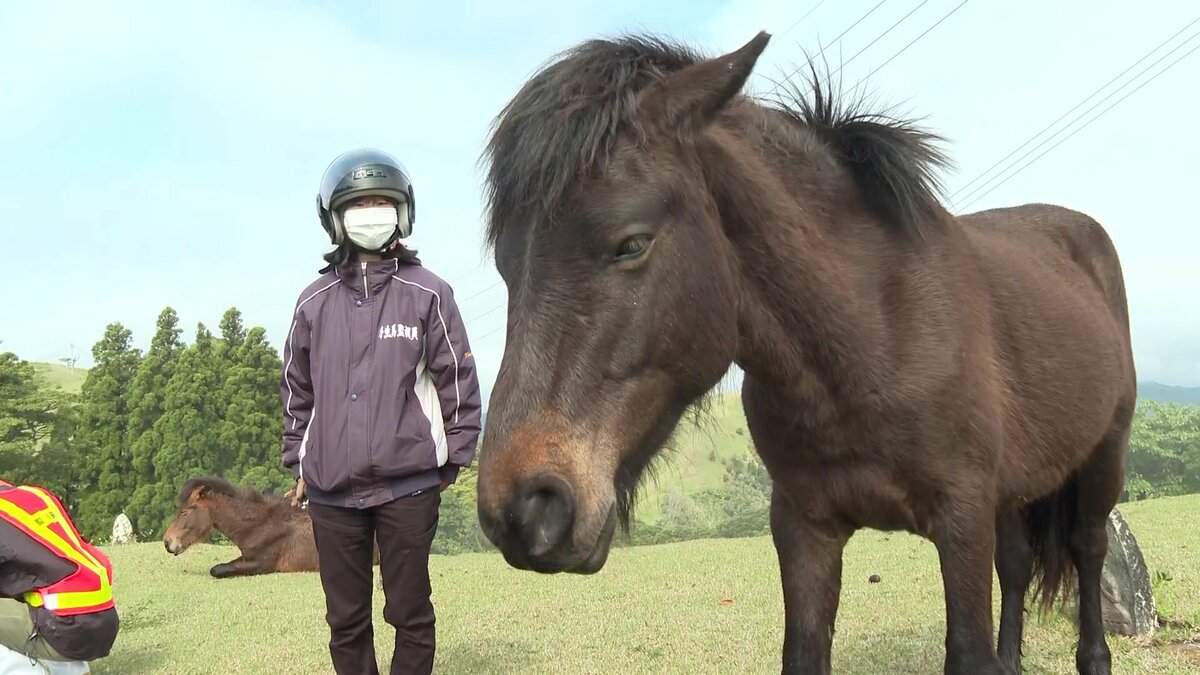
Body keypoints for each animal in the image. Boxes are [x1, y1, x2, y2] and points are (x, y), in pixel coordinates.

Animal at [163, 476, 378, 578]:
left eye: (184, 511)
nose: (167, 542)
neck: (259, 524)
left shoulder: (262, 564)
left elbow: (218, 569)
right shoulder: (247, 557)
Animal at [473, 31, 1135, 675]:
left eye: (631, 243)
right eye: (506, 265)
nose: (524, 510)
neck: (870, 338)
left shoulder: (962, 519)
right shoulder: (804, 529)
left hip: (1103, 456)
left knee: (1088, 548)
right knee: (1018, 564)